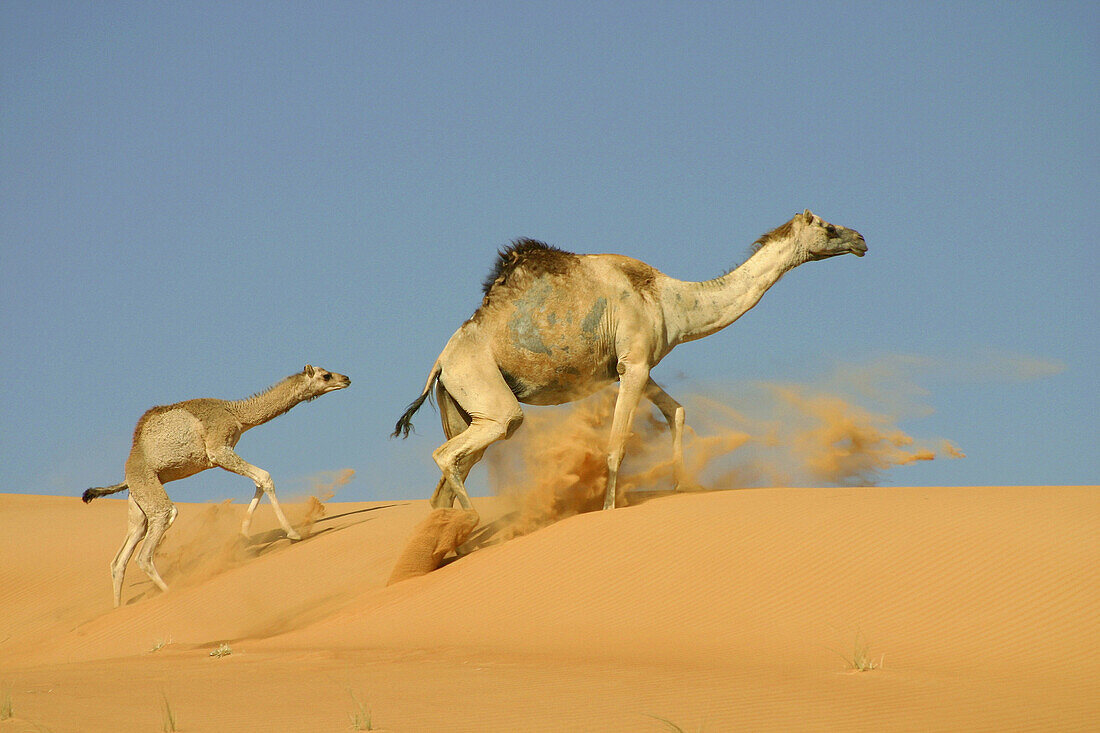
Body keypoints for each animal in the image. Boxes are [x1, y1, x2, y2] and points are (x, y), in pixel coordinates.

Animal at [84, 363, 349, 603]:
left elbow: (259, 481)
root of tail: (128, 471)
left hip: (138, 497)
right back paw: (171, 591)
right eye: (326, 375)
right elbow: (265, 477)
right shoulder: (218, 450)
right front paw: (293, 533)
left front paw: (244, 533)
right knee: (149, 545)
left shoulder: (222, 455)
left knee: (122, 555)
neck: (236, 414)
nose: (346, 378)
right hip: (150, 491)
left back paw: (118, 608)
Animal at [396, 208, 866, 510]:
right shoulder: (634, 363)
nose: (861, 239)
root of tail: (440, 364)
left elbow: (676, 411)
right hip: (484, 389)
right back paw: (471, 526)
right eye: (827, 227)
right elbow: (616, 445)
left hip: (459, 403)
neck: (672, 301)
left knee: (452, 472)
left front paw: (681, 486)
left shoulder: (635, 365)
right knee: (458, 450)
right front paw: (608, 510)